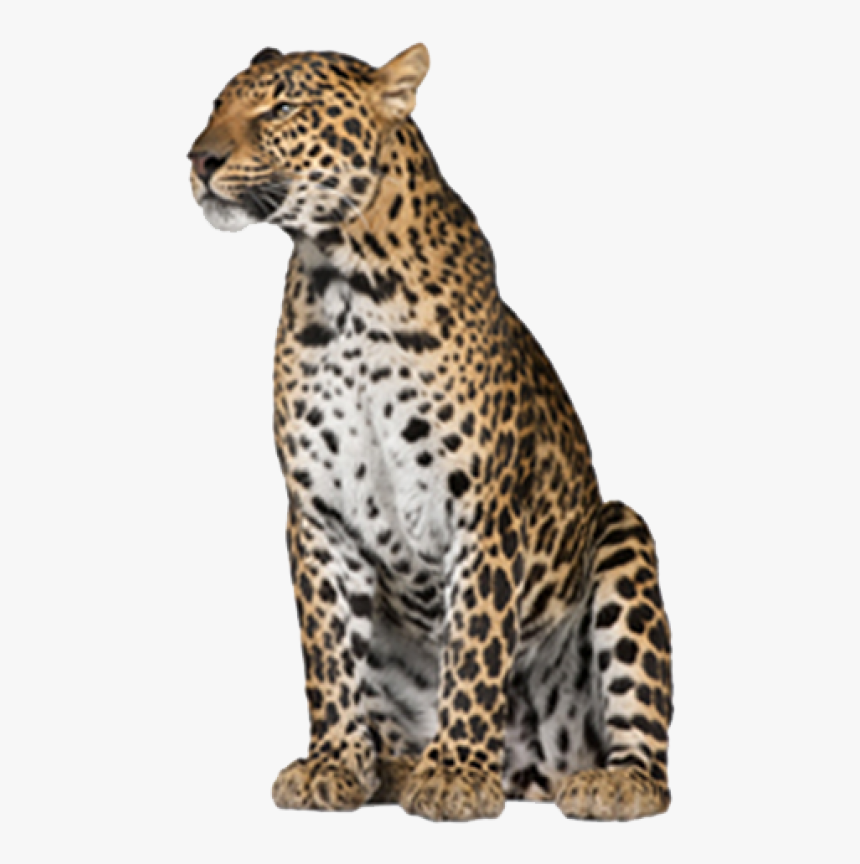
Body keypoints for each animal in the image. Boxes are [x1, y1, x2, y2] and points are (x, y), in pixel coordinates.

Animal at [188, 43, 673, 822]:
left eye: (283, 107)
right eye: (216, 106)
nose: (199, 158)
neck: (346, 282)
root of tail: (532, 770)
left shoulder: (483, 508)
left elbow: (475, 641)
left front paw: (456, 776)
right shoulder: (318, 514)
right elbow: (328, 654)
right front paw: (332, 763)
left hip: (625, 534)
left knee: (650, 756)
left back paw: (605, 784)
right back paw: (390, 768)